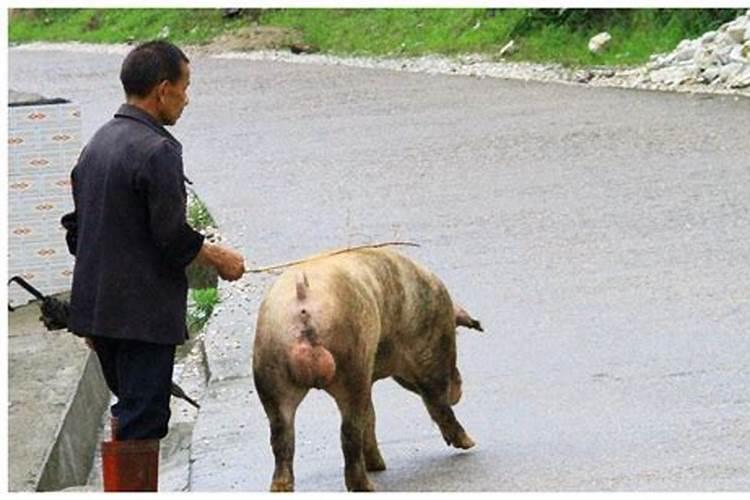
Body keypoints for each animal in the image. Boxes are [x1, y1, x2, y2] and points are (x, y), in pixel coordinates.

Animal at [253, 248, 482, 490]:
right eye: (456, 334)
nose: (459, 390)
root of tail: (303, 294)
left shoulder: (369, 376)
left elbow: (371, 415)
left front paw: (378, 465)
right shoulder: (428, 351)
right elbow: (435, 403)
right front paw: (468, 443)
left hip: (271, 370)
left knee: (282, 437)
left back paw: (282, 488)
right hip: (352, 361)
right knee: (350, 431)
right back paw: (366, 485)